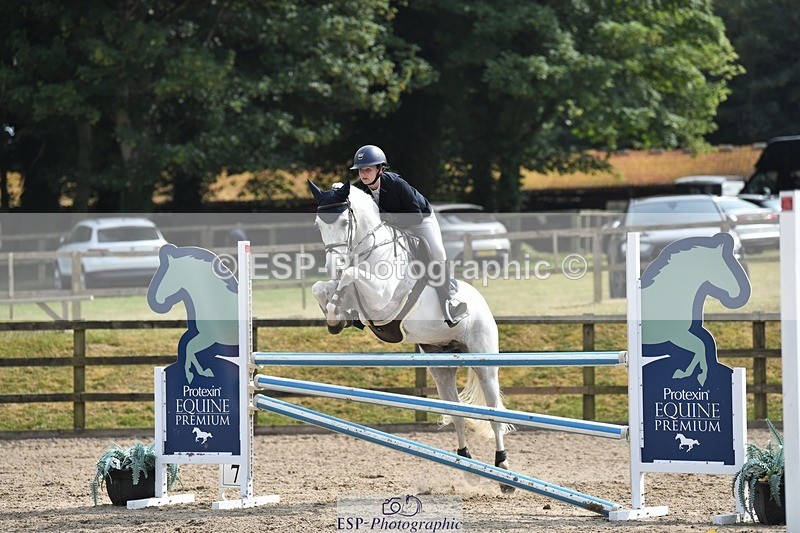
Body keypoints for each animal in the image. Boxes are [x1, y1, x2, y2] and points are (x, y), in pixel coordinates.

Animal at [147, 244, 240, 384]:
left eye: (168, 276)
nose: (159, 299)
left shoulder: (208, 338)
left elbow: (189, 347)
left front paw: (192, 373)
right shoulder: (205, 338)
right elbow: (189, 348)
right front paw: (197, 373)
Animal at [307, 180, 514, 493]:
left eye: (344, 222)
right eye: (319, 224)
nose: (334, 265)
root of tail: (482, 304)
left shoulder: (383, 301)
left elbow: (351, 275)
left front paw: (336, 304)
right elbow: (322, 287)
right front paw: (334, 315)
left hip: (484, 361)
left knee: (494, 414)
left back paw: (503, 471)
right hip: (440, 366)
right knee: (457, 413)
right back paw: (467, 466)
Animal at [640, 233, 751, 386]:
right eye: (723, 267)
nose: (736, 293)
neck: (670, 295)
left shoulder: (684, 335)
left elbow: (701, 347)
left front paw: (688, 374)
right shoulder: (677, 336)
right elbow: (700, 346)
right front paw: (699, 375)